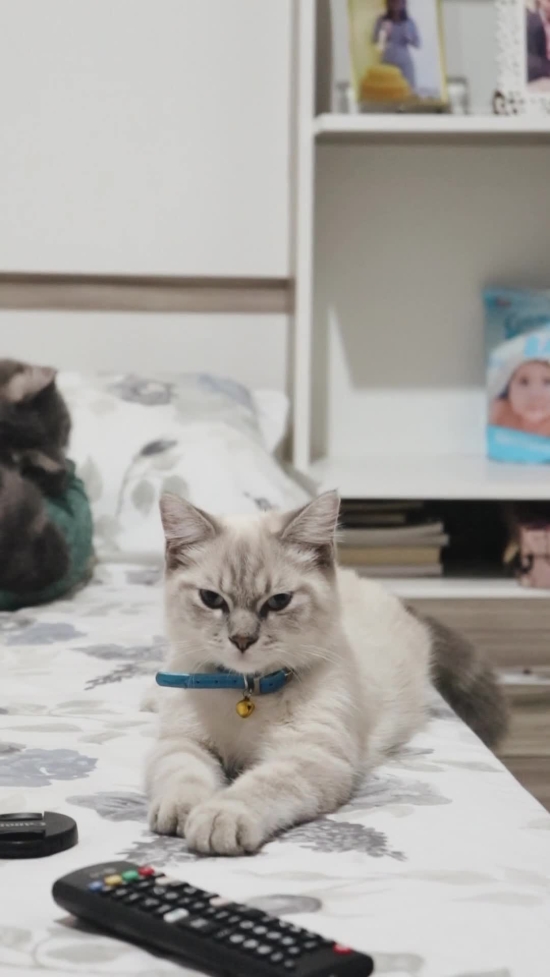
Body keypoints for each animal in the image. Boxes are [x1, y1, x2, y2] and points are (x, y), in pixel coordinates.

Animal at [146, 490, 507, 856]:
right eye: (211, 599)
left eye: (278, 601)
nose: (242, 640)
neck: (245, 690)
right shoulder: (184, 740)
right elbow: (183, 772)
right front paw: (183, 809)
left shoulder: (309, 755)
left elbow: (258, 786)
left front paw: (219, 816)